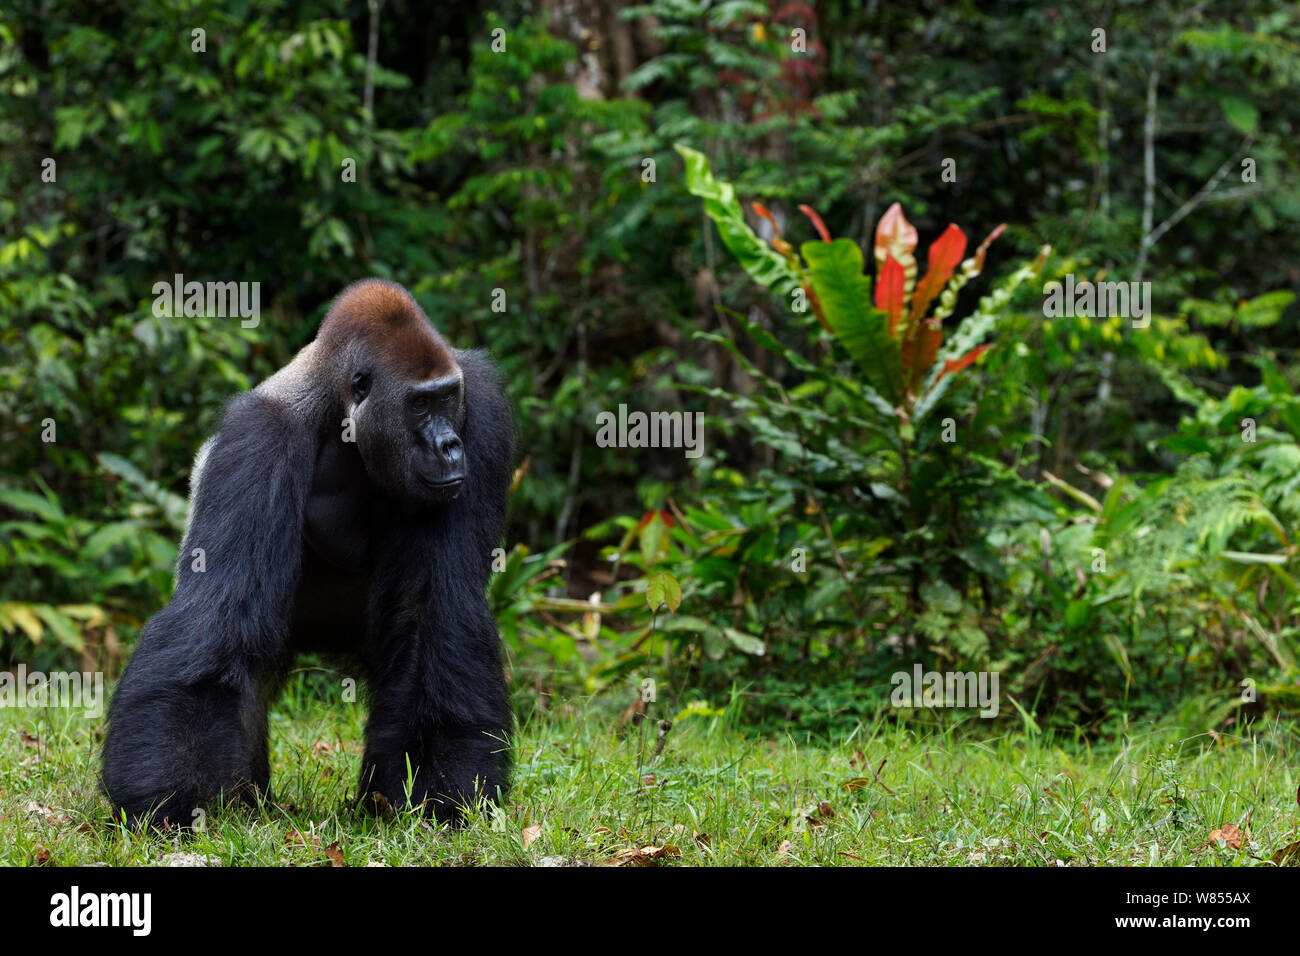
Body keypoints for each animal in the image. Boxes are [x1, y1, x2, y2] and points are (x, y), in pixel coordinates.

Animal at [100, 278, 512, 832]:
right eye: (420, 405)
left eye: (448, 398)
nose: (448, 446)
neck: (338, 410)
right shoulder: (259, 438)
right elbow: (218, 618)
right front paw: (168, 800)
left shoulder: (480, 410)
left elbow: (437, 613)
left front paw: (438, 790)